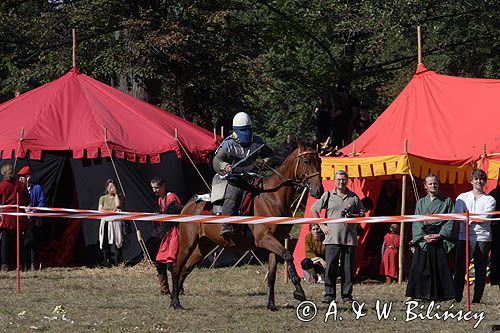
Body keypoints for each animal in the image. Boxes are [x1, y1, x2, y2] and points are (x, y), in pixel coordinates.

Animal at [170, 137, 322, 308]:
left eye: (320, 161)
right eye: (306, 161)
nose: (319, 190)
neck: (274, 197)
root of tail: (188, 205)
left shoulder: (274, 241)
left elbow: (272, 273)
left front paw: (271, 304)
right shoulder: (265, 239)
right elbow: (288, 256)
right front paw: (299, 291)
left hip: (203, 245)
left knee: (186, 268)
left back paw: (175, 298)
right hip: (187, 243)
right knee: (177, 268)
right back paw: (175, 302)